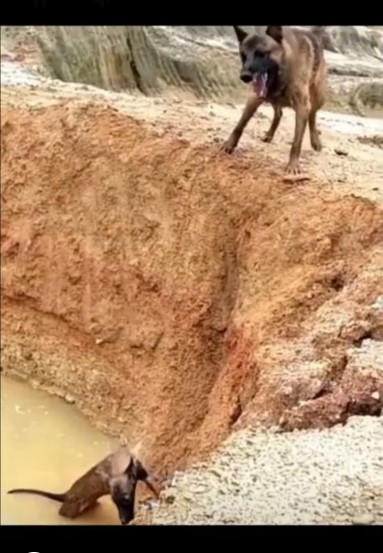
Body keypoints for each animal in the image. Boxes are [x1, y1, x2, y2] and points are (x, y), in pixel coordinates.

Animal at [7, 446, 160, 524]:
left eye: (127, 498)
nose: (124, 520)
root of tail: (67, 493)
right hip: (72, 506)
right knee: (63, 512)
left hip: (91, 502)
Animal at [224, 25, 328, 177]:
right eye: (243, 55)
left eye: (261, 54)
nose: (244, 76)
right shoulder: (254, 98)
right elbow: (240, 124)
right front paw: (229, 144)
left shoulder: (302, 106)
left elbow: (297, 141)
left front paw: (293, 164)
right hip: (274, 100)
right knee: (278, 113)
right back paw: (269, 134)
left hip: (318, 97)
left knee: (312, 115)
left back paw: (315, 140)